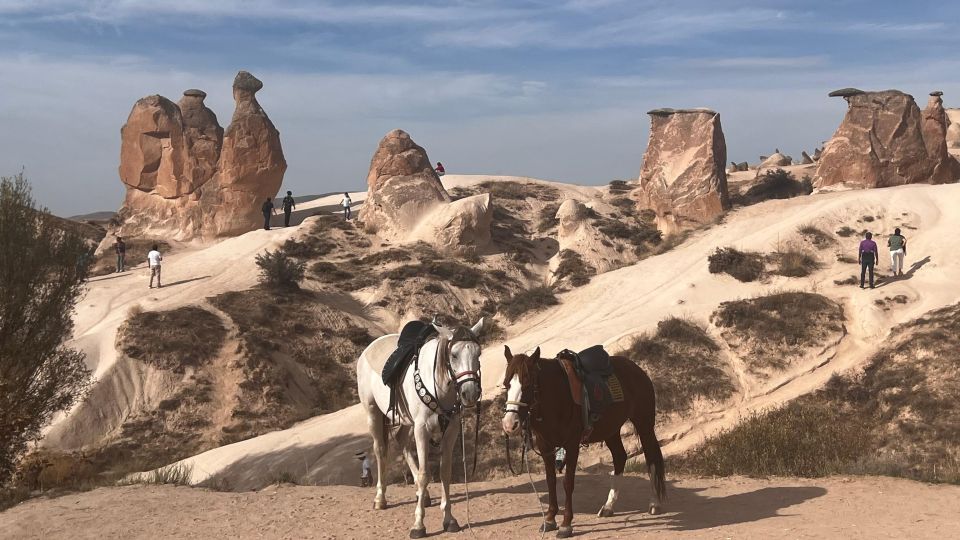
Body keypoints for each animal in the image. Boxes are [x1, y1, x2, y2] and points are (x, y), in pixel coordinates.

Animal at [356, 318, 484, 536]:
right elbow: (425, 474)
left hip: (408, 422)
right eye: (454, 355)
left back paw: (421, 495)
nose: (470, 393)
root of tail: (368, 349)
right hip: (373, 413)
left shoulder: (450, 431)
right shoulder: (422, 429)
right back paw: (380, 498)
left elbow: (445, 472)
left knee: (402, 443)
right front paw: (418, 525)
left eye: (478, 353)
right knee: (380, 450)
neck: (439, 386)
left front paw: (449, 519)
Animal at [498, 346, 664, 536]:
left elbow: (567, 483)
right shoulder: (545, 445)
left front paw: (566, 524)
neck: (557, 397)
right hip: (611, 430)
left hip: (644, 424)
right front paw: (549, 519)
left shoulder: (571, 445)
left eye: (527, 384)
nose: (510, 424)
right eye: (506, 384)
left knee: (651, 458)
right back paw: (608, 506)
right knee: (620, 457)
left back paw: (655, 503)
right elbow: (550, 481)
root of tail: (637, 370)